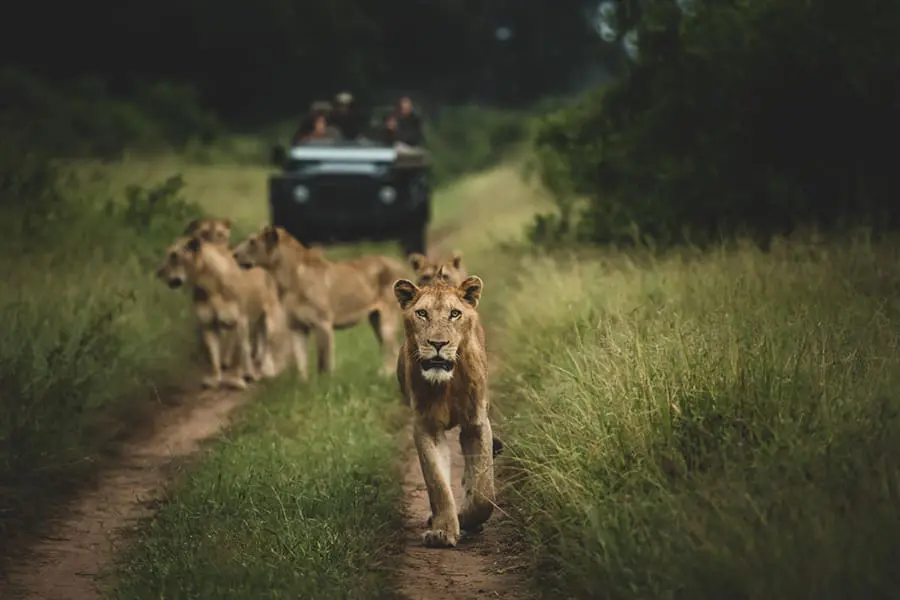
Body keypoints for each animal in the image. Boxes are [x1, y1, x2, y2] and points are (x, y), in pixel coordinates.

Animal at [155, 232, 282, 392]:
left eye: (174, 256)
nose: (158, 273)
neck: (207, 284)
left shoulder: (240, 321)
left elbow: (243, 352)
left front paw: (238, 380)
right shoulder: (209, 325)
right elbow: (214, 356)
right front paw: (215, 379)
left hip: (270, 318)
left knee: (266, 344)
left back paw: (262, 368)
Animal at [230, 225, 406, 380]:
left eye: (252, 242)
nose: (233, 254)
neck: (285, 279)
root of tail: (398, 263)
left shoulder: (322, 323)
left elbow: (324, 362)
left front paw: (326, 384)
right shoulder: (296, 327)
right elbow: (301, 361)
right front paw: (303, 385)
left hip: (387, 321)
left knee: (392, 350)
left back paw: (385, 376)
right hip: (375, 319)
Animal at [392, 274, 496, 548]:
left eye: (454, 314)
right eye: (422, 313)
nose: (438, 344)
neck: (446, 384)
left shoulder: (476, 423)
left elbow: (484, 492)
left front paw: (467, 518)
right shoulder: (426, 426)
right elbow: (437, 482)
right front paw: (442, 531)